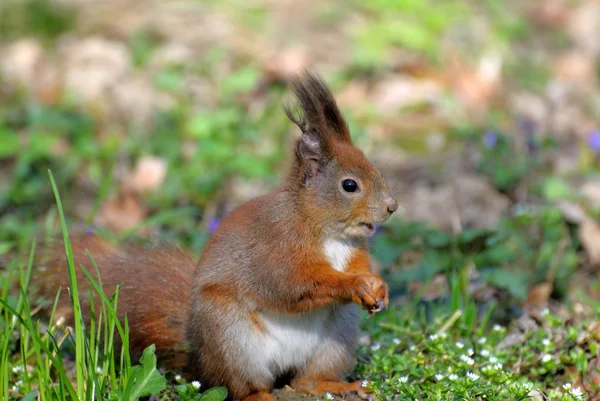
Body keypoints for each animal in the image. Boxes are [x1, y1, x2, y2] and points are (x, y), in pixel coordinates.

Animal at [39, 72, 400, 400]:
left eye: (377, 170)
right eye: (349, 185)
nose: (392, 207)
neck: (327, 232)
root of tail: (202, 358)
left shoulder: (353, 251)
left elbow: (358, 269)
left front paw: (377, 286)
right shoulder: (276, 249)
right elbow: (295, 284)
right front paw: (353, 284)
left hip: (336, 334)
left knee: (305, 381)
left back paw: (339, 385)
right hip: (231, 335)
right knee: (241, 388)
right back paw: (261, 396)